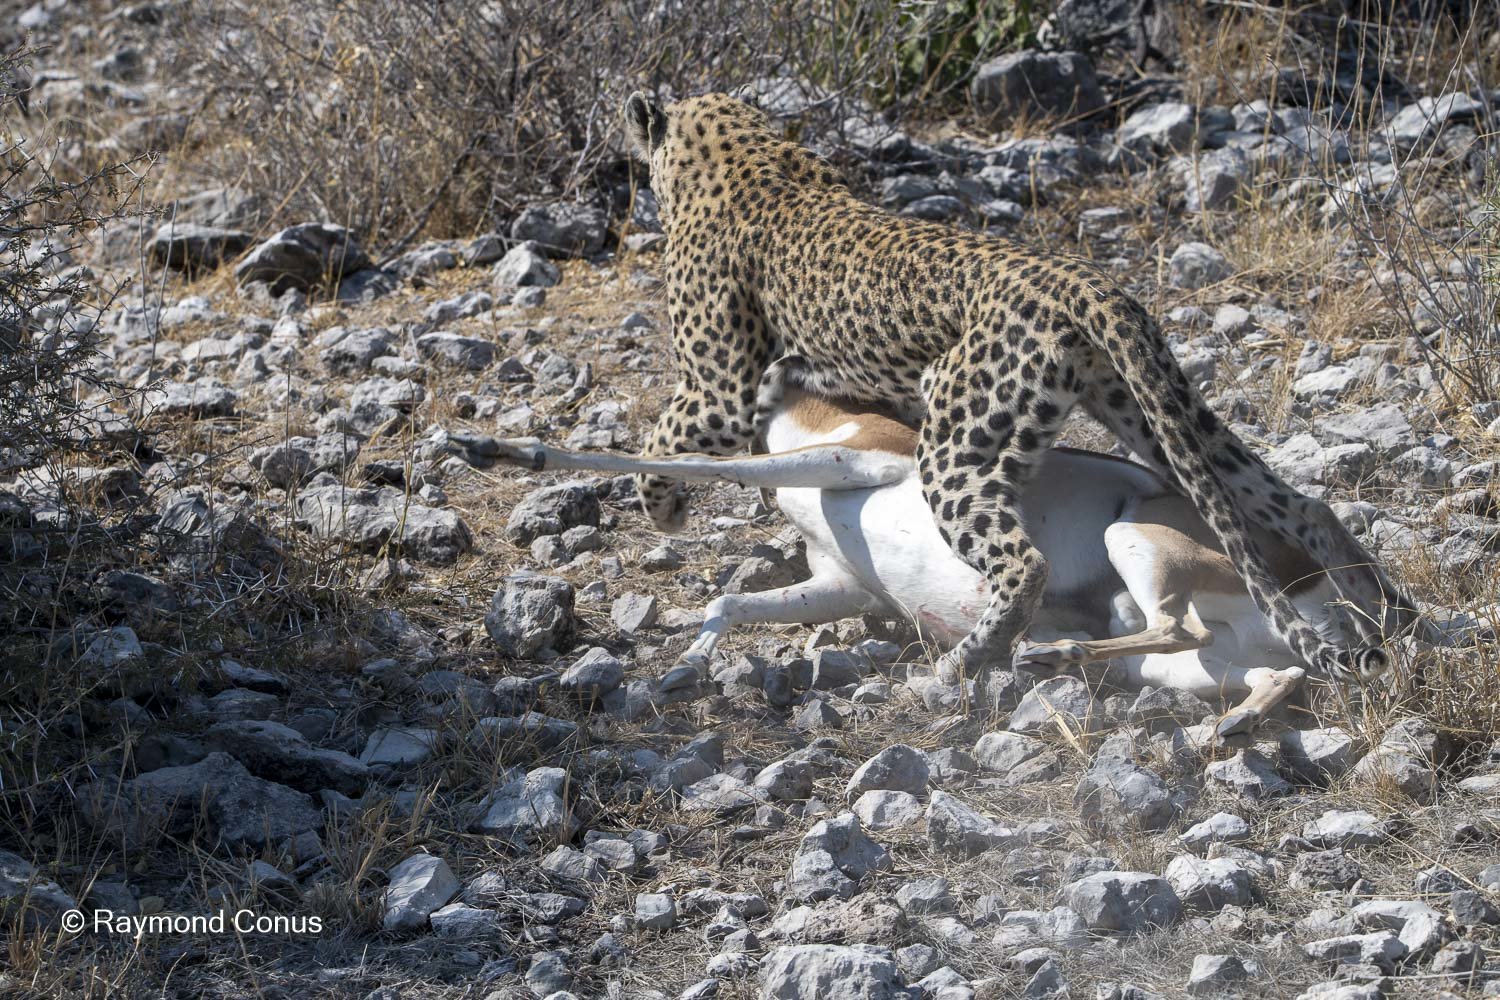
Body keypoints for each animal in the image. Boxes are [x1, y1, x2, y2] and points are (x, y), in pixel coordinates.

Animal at [622, 90, 1424, 697]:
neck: (741, 152)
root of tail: (1086, 281)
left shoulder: (718, 388)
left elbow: (660, 443)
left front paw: (662, 510)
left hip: (956, 445)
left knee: (1027, 565)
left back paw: (969, 660)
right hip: (1160, 419)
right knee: (1299, 507)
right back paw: (1389, 607)